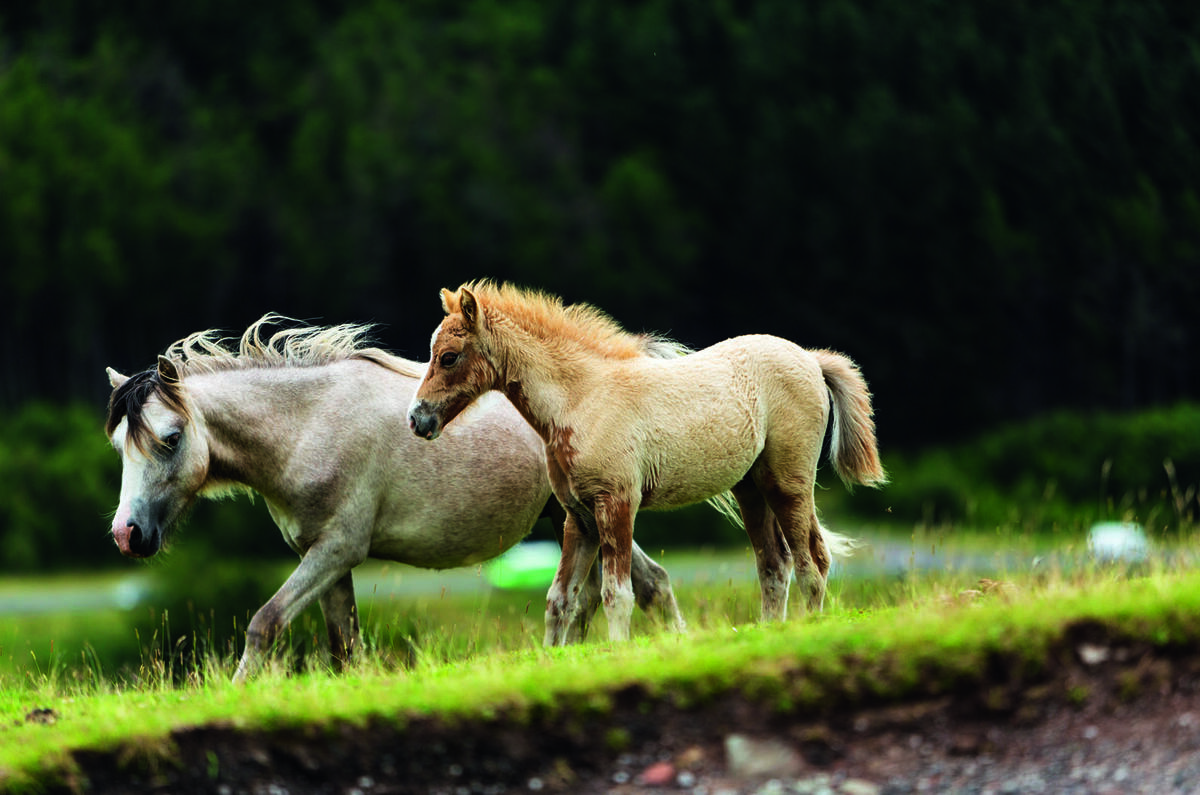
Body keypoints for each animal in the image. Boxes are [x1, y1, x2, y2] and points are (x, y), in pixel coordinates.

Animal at [105, 314, 684, 682]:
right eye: (118, 445)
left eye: (170, 438)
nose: (125, 534)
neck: (308, 425)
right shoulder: (326, 561)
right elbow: (345, 650)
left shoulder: (336, 551)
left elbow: (263, 624)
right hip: (581, 519)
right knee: (629, 589)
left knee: (646, 586)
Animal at [408, 281, 887, 645]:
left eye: (448, 356)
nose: (417, 418)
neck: (582, 400)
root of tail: (810, 358)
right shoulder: (578, 517)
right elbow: (560, 598)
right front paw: (549, 660)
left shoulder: (616, 503)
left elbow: (616, 594)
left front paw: (618, 653)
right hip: (751, 487)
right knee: (775, 565)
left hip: (788, 481)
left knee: (811, 563)